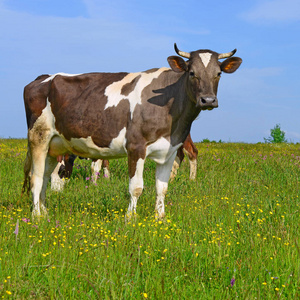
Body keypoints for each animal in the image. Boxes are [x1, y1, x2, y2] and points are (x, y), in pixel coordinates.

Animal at [22, 44, 243, 218]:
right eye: (192, 73)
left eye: (218, 74)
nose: (208, 100)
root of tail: (42, 78)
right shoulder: (136, 147)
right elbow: (136, 187)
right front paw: (131, 218)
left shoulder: (170, 150)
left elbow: (162, 187)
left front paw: (160, 218)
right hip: (38, 137)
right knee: (36, 178)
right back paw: (36, 216)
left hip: (55, 146)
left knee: (46, 177)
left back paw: (45, 212)